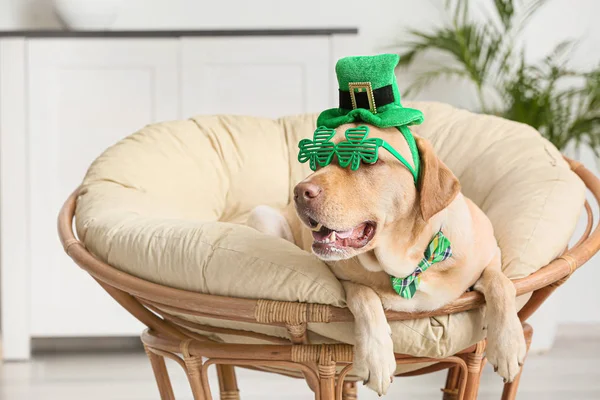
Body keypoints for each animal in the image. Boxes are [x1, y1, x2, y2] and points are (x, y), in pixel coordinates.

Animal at [246, 123, 528, 396]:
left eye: (366, 160)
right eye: (319, 159)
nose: (301, 191)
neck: (410, 263)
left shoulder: (492, 254)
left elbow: (502, 283)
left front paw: (509, 345)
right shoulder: (342, 279)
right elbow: (364, 296)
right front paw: (376, 359)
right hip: (262, 216)